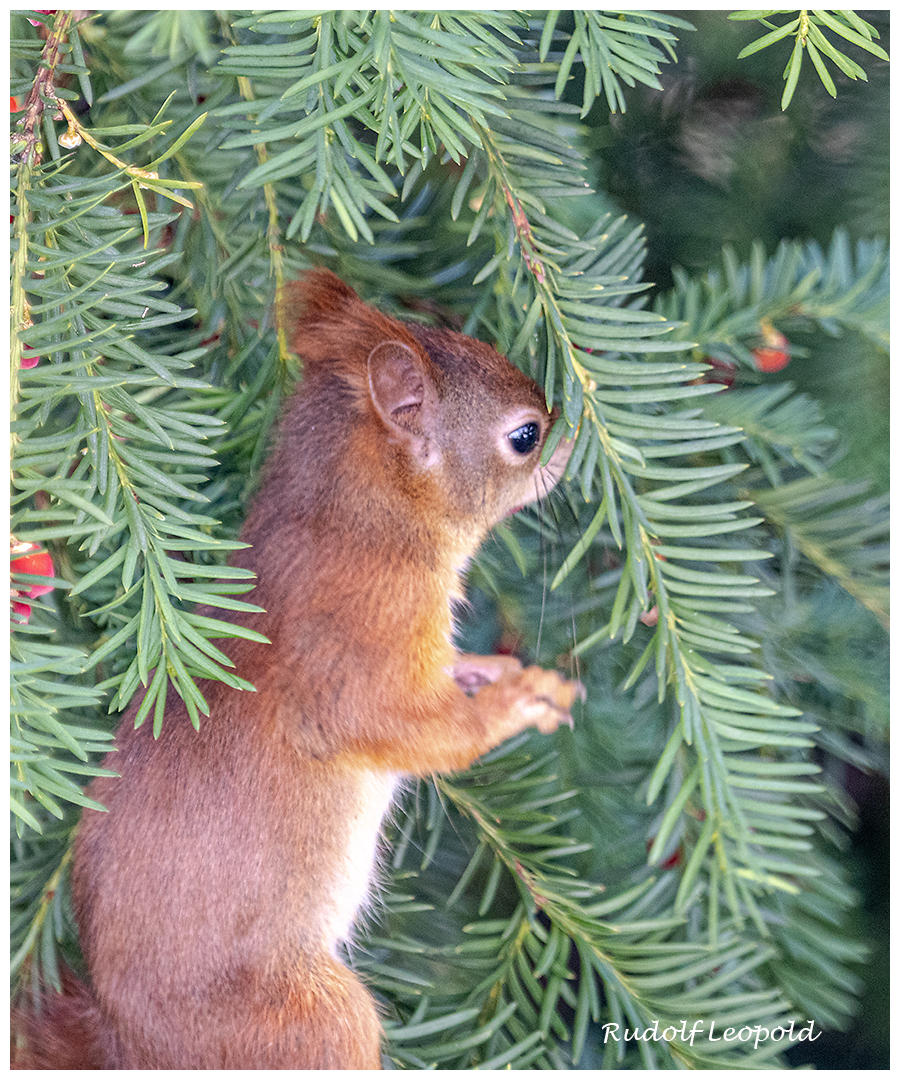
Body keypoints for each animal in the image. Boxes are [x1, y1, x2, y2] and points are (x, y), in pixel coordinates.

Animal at [14, 272, 579, 1071]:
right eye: (524, 436)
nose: (573, 434)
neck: (357, 521)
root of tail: (128, 1042)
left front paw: (490, 669)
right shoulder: (358, 639)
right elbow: (404, 728)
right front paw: (518, 700)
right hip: (310, 1018)